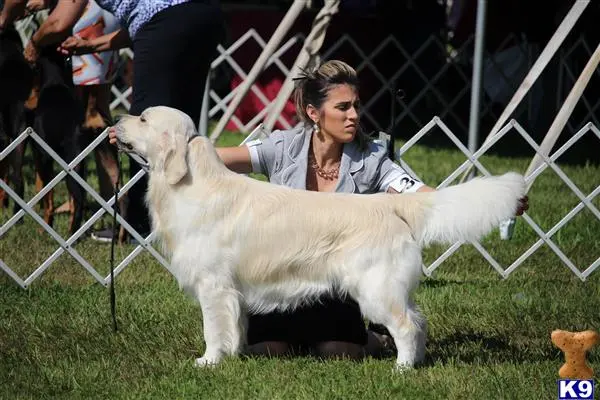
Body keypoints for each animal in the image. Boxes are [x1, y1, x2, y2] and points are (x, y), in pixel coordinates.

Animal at [112, 105, 524, 368]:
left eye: (144, 117)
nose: (115, 121)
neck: (192, 183)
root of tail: (389, 203)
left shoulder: (214, 285)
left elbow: (213, 328)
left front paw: (208, 362)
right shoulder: (233, 292)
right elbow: (236, 328)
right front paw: (236, 355)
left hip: (375, 289)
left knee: (406, 325)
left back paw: (402, 369)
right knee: (419, 322)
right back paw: (417, 362)